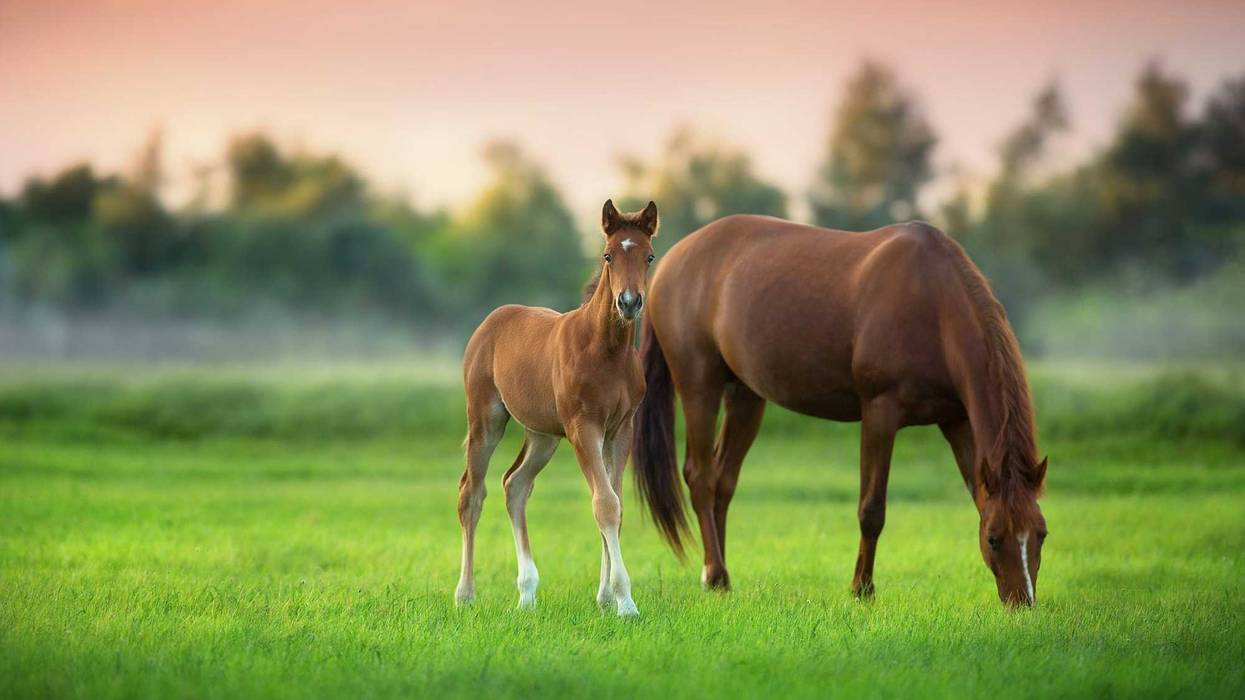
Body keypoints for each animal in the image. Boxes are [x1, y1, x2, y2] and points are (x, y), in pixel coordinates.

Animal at [454, 199, 659, 616]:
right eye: (608, 255)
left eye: (648, 255)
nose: (629, 303)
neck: (605, 351)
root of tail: (492, 319)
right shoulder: (584, 428)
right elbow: (604, 504)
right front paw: (625, 601)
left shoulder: (620, 429)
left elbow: (615, 504)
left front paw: (605, 597)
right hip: (486, 419)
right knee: (472, 494)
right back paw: (465, 594)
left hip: (542, 435)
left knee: (515, 485)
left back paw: (527, 593)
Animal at [631, 215, 1048, 606]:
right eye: (994, 539)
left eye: (1041, 534)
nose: (1021, 602)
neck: (933, 302)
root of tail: (669, 261)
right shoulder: (880, 412)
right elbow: (872, 510)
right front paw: (862, 588)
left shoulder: (957, 421)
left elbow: (976, 496)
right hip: (699, 385)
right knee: (701, 477)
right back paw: (716, 573)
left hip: (746, 396)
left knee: (723, 479)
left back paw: (717, 576)